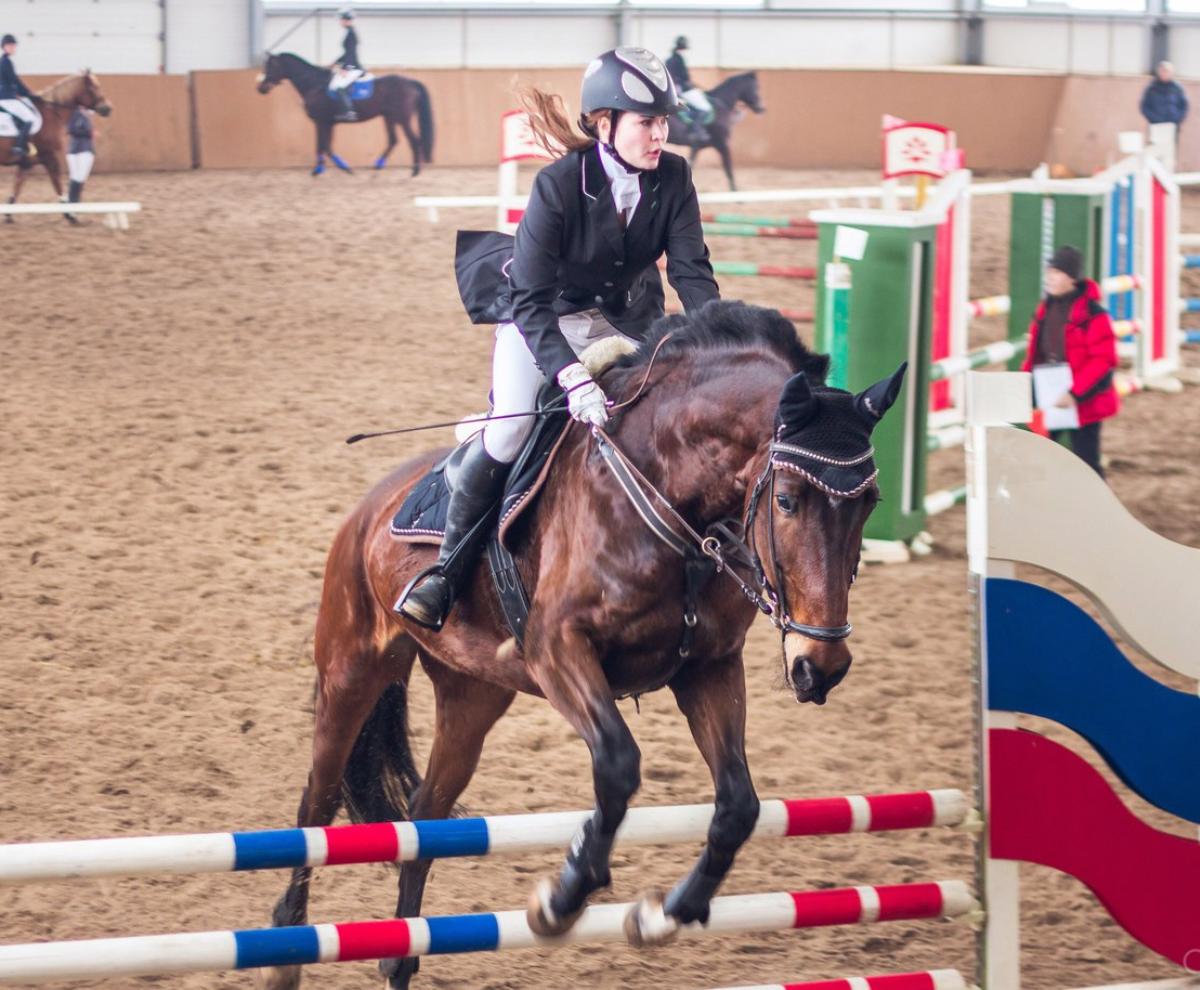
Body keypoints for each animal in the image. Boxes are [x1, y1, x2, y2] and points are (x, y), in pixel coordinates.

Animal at [2, 69, 111, 222]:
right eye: (93, 88)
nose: (107, 108)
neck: (51, 113)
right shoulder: (50, 157)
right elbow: (57, 183)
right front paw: (69, 214)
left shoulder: (26, 163)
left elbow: (17, 185)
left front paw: (8, 214)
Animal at [255, 52, 434, 176]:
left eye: (270, 66)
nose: (261, 88)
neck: (314, 84)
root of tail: (410, 82)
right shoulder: (327, 123)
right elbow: (323, 146)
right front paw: (320, 170)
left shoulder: (321, 121)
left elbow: (324, 146)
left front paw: (343, 168)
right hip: (389, 117)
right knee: (393, 140)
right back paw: (378, 166)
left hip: (402, 118)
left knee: (414, 140)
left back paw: (414, 172)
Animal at [260, 301, 902, 988]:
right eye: (786, 500)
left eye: (870, 503)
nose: (821, 666)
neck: (673, 496)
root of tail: (372, 503)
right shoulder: (557, 648)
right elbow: (618, 765)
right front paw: (562, 897)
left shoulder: (709, 668)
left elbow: (738, 804)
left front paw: (666, 912)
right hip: (351, 668)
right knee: (318, 802)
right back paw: (287, 952)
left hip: (472, 696)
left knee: (424, 813)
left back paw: (401, 956)